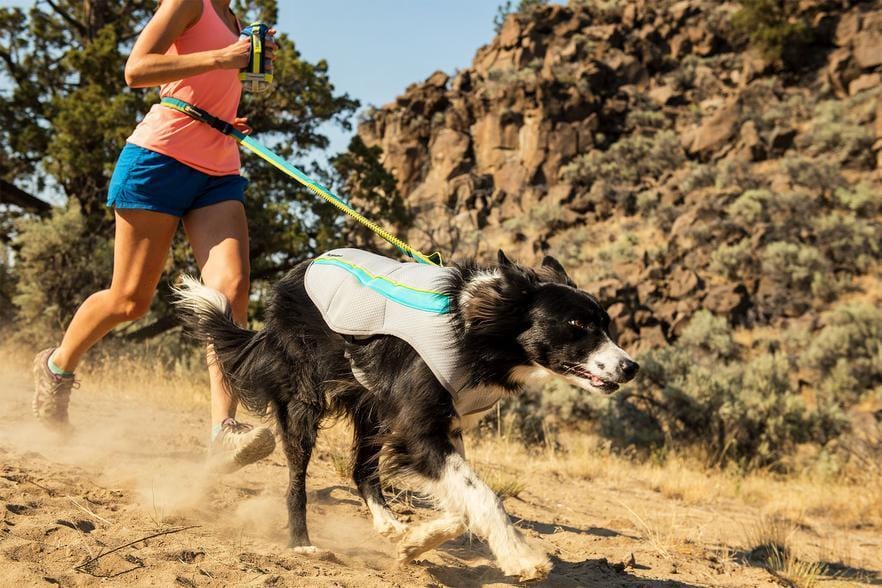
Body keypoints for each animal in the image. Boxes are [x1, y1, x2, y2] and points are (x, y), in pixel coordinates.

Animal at [174, 248, 640, 580]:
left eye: (605, 325)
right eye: (577, 325)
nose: (630, 367)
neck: (474, 329)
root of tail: (292, 277)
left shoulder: (445, 426)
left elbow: (462, 500)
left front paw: (415, 542)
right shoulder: (418, 429)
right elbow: (483, 495)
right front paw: (520, 557)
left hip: (371, 405)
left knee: (362, 470)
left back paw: (390, 525)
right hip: (306, 399)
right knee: (297, 480)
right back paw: (302, 542)